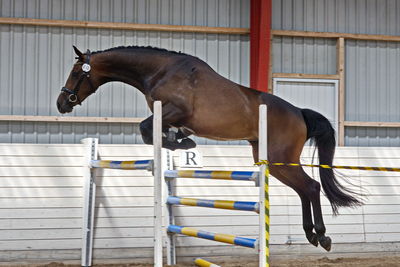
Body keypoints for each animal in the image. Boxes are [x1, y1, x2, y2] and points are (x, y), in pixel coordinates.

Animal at [57, 45, 362, 252]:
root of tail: (299, 113)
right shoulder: (170, 116)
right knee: (304, 189)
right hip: (273, 162)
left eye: (76, 72)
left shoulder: (173, 111)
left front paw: (180, 141)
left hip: (280, 159)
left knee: (311, 187)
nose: (62, 103)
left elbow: (145, 128)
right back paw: (312, 235)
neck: (159, 71)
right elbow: (154, 131)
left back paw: (321, 236)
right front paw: (181, 140)